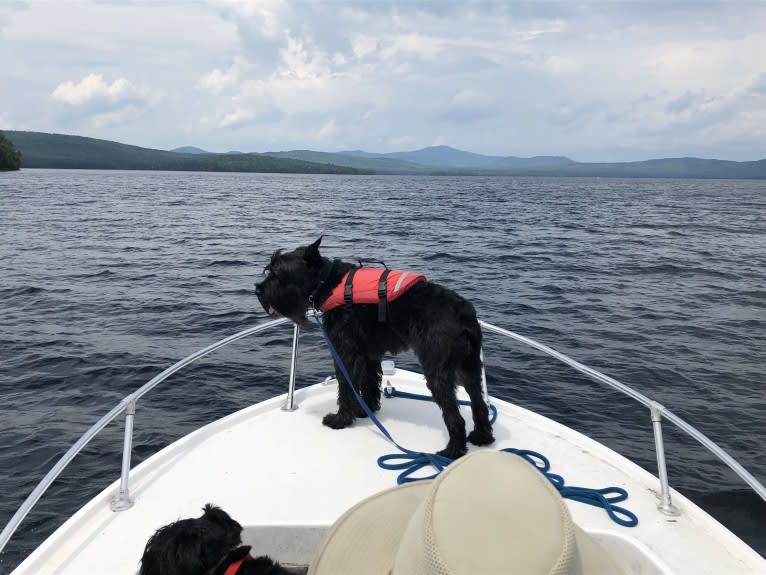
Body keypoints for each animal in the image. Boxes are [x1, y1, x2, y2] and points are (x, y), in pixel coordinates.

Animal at [256, 237, 498, 460]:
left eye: (276, 273)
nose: (258, 290)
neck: (328, 283)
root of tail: (464, 314)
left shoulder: (345, 354)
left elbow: (346, 387)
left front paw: (341, 419)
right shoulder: (369, 354)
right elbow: (370, 383)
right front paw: (366, 410)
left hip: (438, 372)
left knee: (455, 416)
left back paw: (452, 451)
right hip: (469, 368)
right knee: (479, 404)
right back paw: (482, 437)